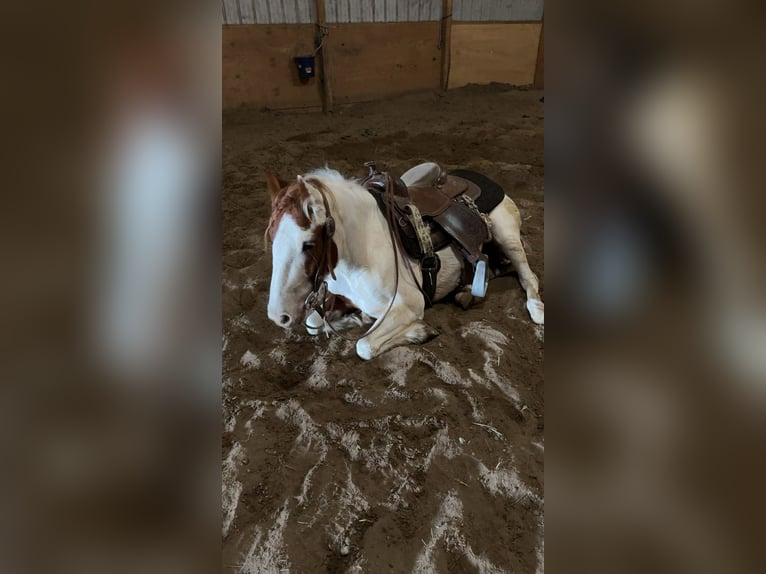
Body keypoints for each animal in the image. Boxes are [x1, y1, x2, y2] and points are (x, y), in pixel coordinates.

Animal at [265, 165, 544, 360]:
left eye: (308, 244)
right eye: (272, 238)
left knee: (528, 276)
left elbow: (363, 346)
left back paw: (536, 309)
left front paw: (418, 332)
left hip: (507, 236)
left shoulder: (410, 304)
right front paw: (357, 318)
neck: (362, 248)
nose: (278, 316)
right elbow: (313, 323)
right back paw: (466, 292)